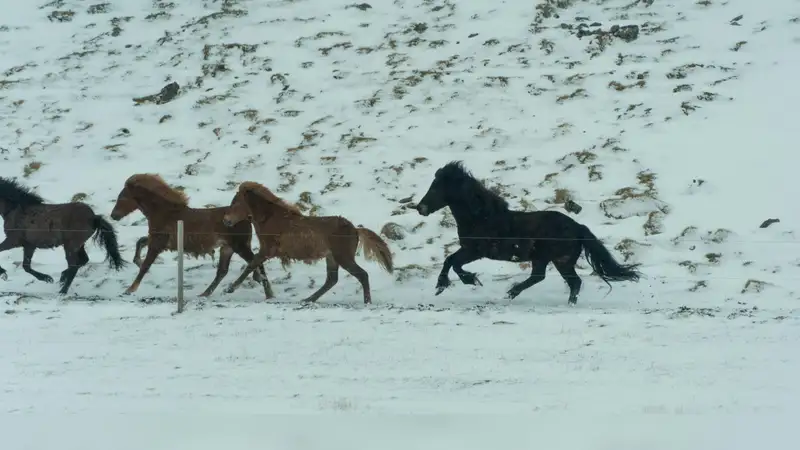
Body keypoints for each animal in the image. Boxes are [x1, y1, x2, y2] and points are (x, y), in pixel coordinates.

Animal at [108, 175, 274, 298]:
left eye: (122, 198)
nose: (113, 216)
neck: (166, 214)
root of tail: (247, 217)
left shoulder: (157, 244)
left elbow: (145, 265)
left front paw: (130, 289)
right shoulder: (158, 240)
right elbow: (140, 242)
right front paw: (137, 261)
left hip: (239, 246)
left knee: (255, 262)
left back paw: (268, 293)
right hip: (227, 248)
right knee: (223, 271)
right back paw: (205, 294)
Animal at [220, 181, 396, 304]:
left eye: (235, 202)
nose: (226, 221)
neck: (271, 218)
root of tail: (355, 230)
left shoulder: (267, 250)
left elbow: (251, 264)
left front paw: (230, 288)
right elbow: (255, 265)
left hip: (343, 257)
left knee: (362, 275)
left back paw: (367, 302)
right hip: (332, 258)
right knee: (331, 280)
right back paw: (308, 299)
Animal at [416, 162, 640, 306]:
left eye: (436, 187)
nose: (420, 208)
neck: (481, 217)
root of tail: (578, 227)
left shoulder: (474, 251)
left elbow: (453, 262)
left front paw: (464, 281)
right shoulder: (469, 250)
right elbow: (450, 261)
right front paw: (445, 285)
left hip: (552, 259)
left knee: (552, 279)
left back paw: (514, 293)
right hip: (555, 260)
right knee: (563, 281)